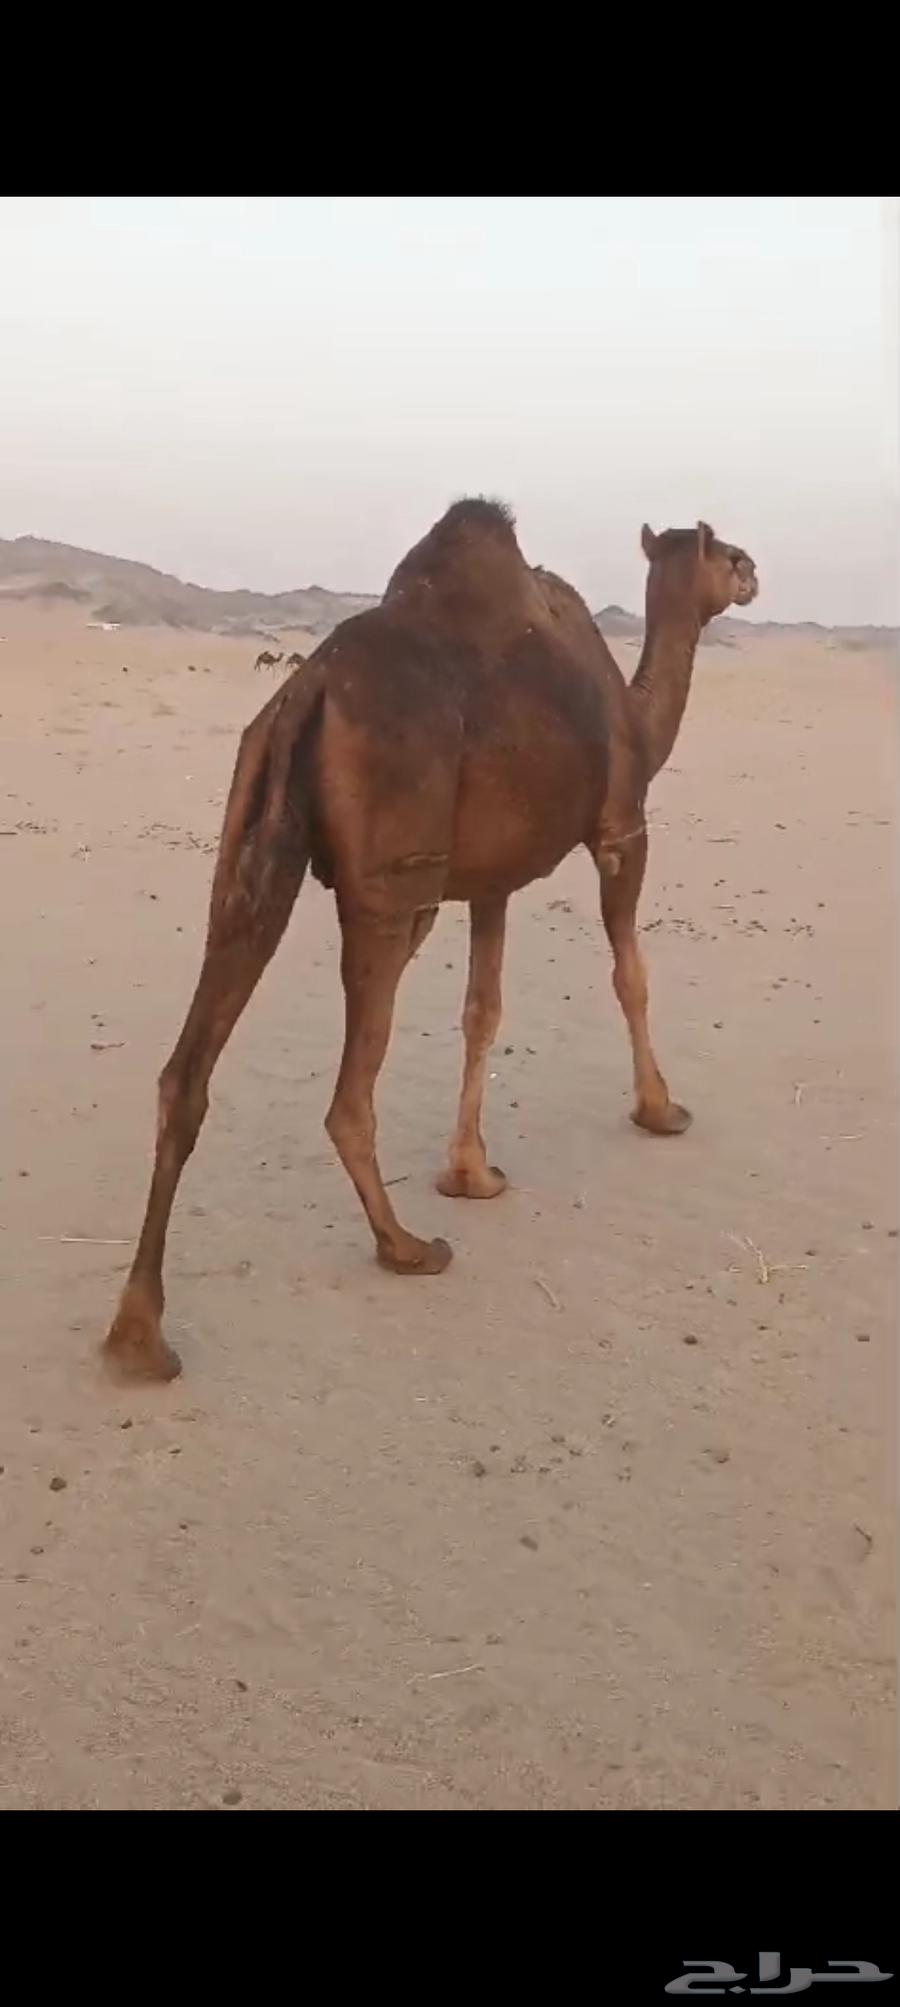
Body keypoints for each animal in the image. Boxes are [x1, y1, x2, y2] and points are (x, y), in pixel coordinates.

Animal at [102, 499, 758, 1382]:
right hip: (396, 888)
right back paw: (404, 1246)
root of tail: (307, 688)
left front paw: (472, 1171)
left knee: (189, 1063)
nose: (754, 573)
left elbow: (483, 1010)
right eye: (727, 555)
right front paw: (660, 1110)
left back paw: (138, 1334)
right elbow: (631, 975)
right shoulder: (623, 829)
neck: (633, 714)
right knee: (349, 1092)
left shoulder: (492, 879)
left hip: (250, 833)